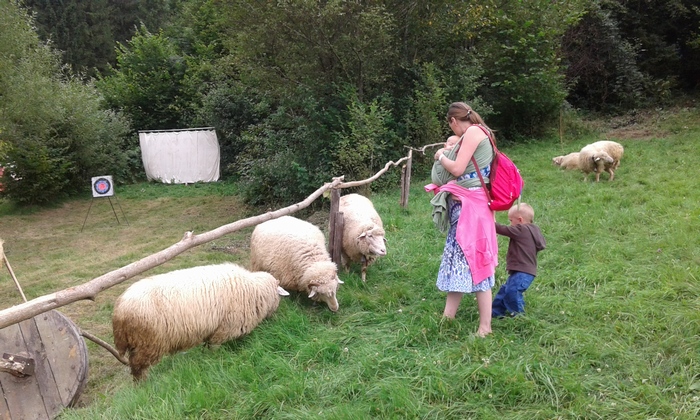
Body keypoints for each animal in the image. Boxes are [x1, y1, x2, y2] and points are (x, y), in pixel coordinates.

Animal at [112, 262, 288, 380]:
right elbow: (214, 349)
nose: (277, 318)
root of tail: (118, 310)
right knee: (138, 367)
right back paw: (143, 385)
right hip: (147, 343)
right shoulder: (224, 329)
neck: (255, 289)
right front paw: (215, 360)